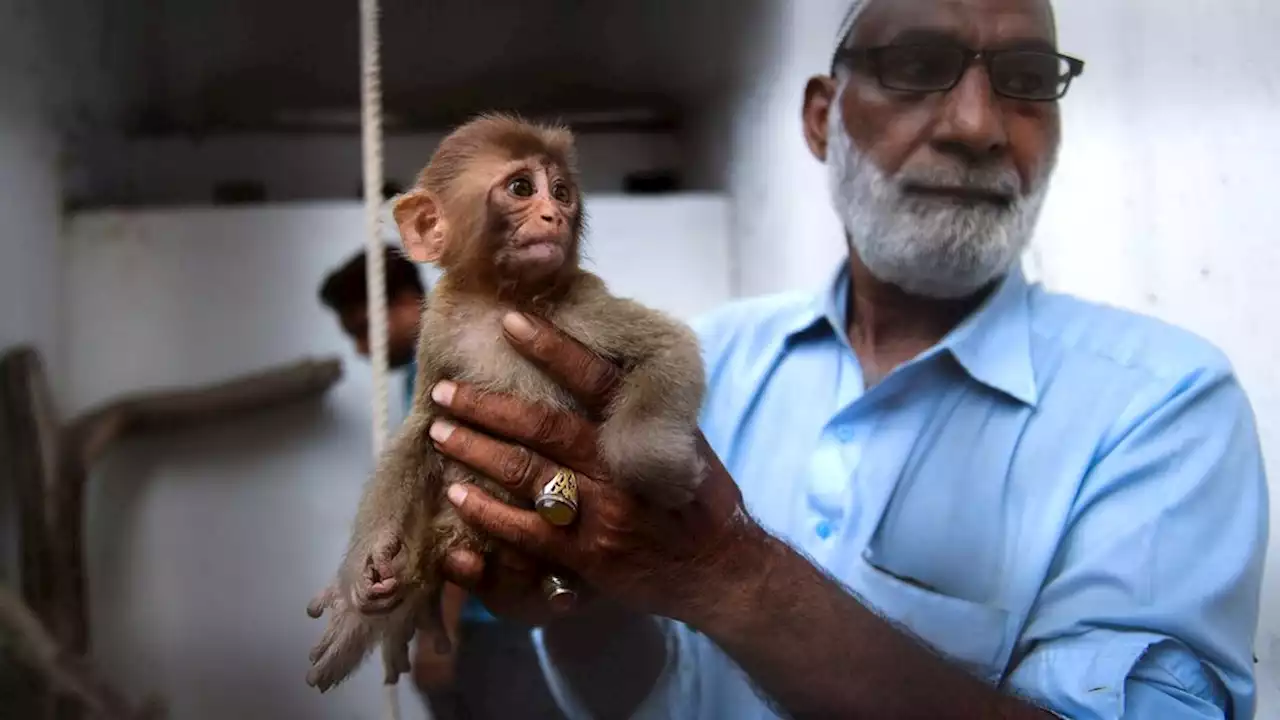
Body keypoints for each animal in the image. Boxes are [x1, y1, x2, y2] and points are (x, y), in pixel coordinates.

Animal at [307, 112, 711, 691]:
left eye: (561, 192)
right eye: (522, 188)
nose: (552, 214)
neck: (503, 299)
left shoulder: (581, 302)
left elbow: (668, 347)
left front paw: (664, 472)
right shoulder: (440, 329)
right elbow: (421, 431)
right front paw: (368, 566)